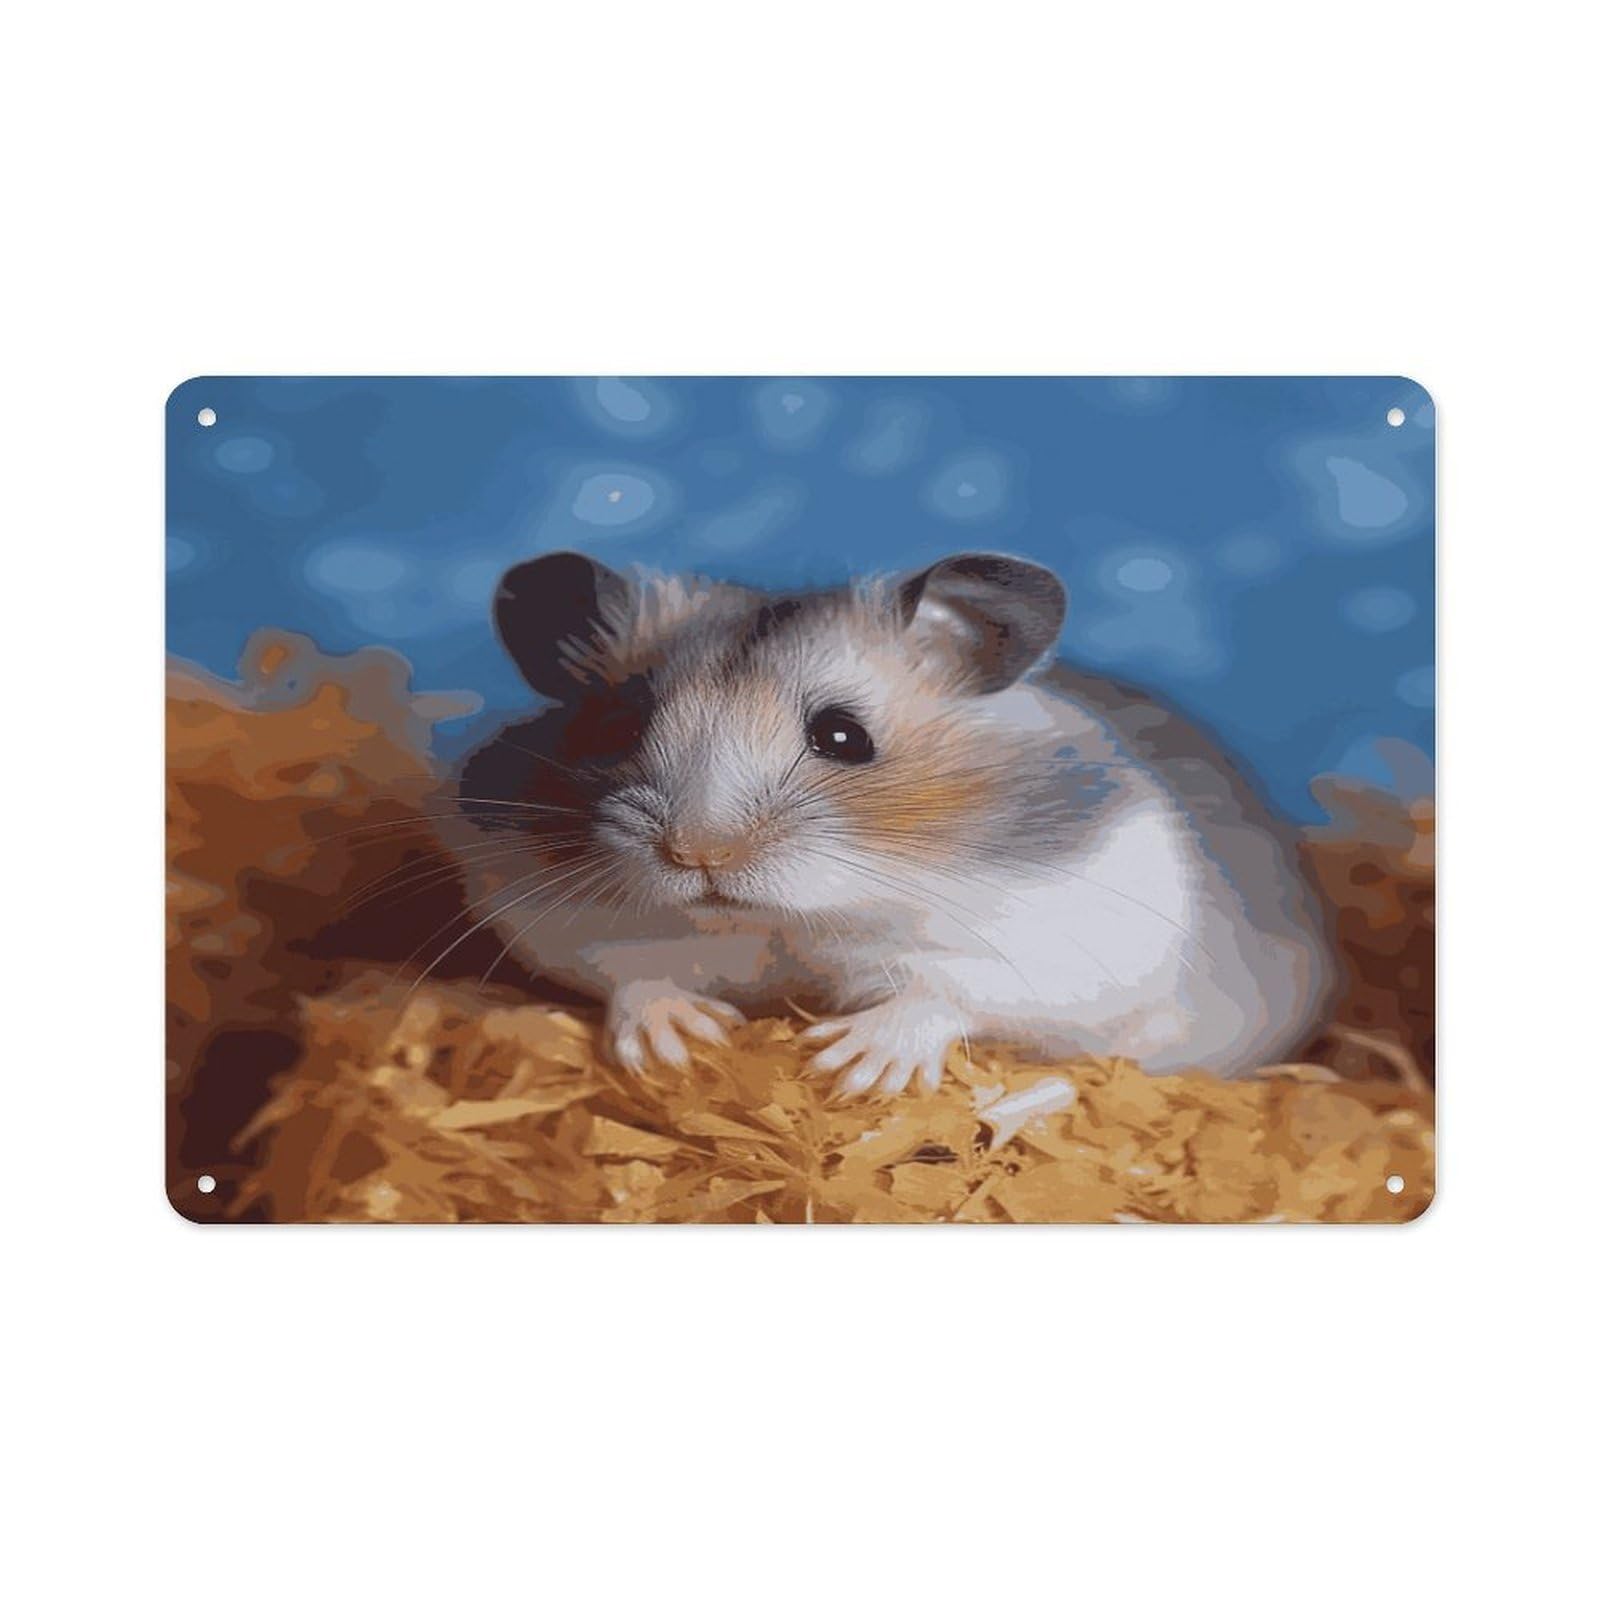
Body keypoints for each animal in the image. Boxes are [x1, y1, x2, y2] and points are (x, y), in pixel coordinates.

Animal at [445, 549, 1335, 1095]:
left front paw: (850, 1066)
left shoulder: (1079, 933)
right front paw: (679, 1045)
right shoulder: (541, 905)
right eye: (621, 729)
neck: (797, 920)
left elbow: (952, 988)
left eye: (844, 737)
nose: (698, 854)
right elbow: (626, 971)